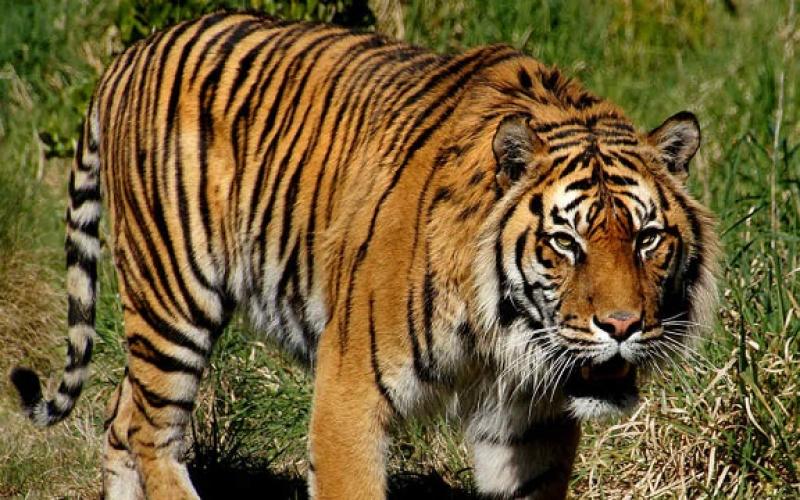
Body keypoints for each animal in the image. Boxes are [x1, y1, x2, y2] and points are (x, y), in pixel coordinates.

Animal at [10, 11, 719, 500]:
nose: (622, 327)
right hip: (173, 295)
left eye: (647, 238)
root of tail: (129, 55)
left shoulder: (530, 424)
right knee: (151, 433)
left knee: (120, 418)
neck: (505, 335)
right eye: (565, 242)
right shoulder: (349, 389)